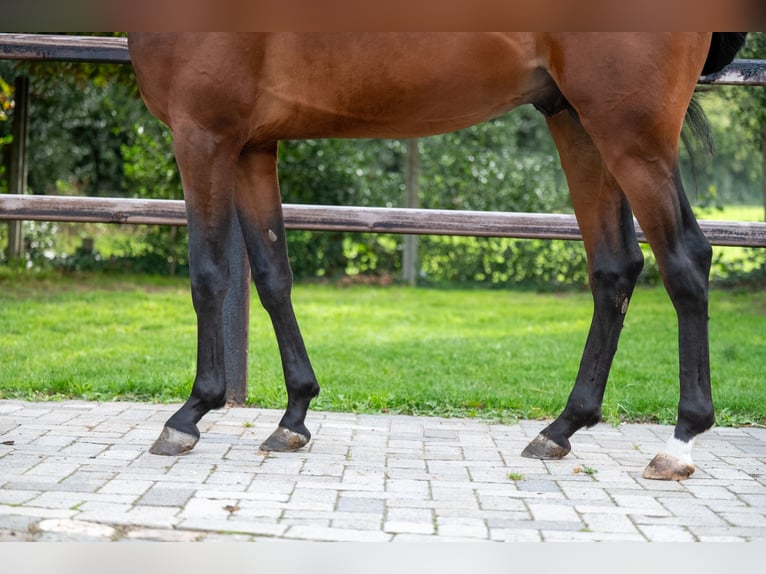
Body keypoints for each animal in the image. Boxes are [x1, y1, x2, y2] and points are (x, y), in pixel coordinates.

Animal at [127, 32, 752, 482]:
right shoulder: (253, 146)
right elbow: (272, 276)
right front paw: (295, 414)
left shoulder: (203, 134)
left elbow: (210, 275)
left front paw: (191, 413)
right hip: (578, 122)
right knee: (615, 269)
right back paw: (561, 428)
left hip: (631, 134)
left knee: (686, 261)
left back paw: (679, 444)